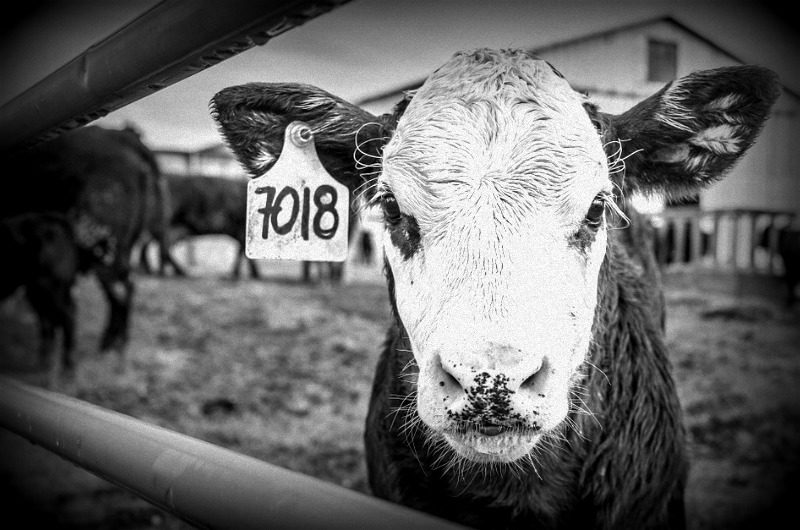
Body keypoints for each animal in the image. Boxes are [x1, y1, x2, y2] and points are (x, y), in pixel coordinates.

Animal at [0, 213, 79, 371]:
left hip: (50, 286)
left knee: (67, 314)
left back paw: (66, 365)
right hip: (37, 291)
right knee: (48, 319)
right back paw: (45, 359)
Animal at [2, 125, 165, 354]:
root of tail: (124, 136)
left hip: (102, 247)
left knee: (119, 290)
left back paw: (111, 343)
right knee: (125, 287)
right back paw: (113, 341)